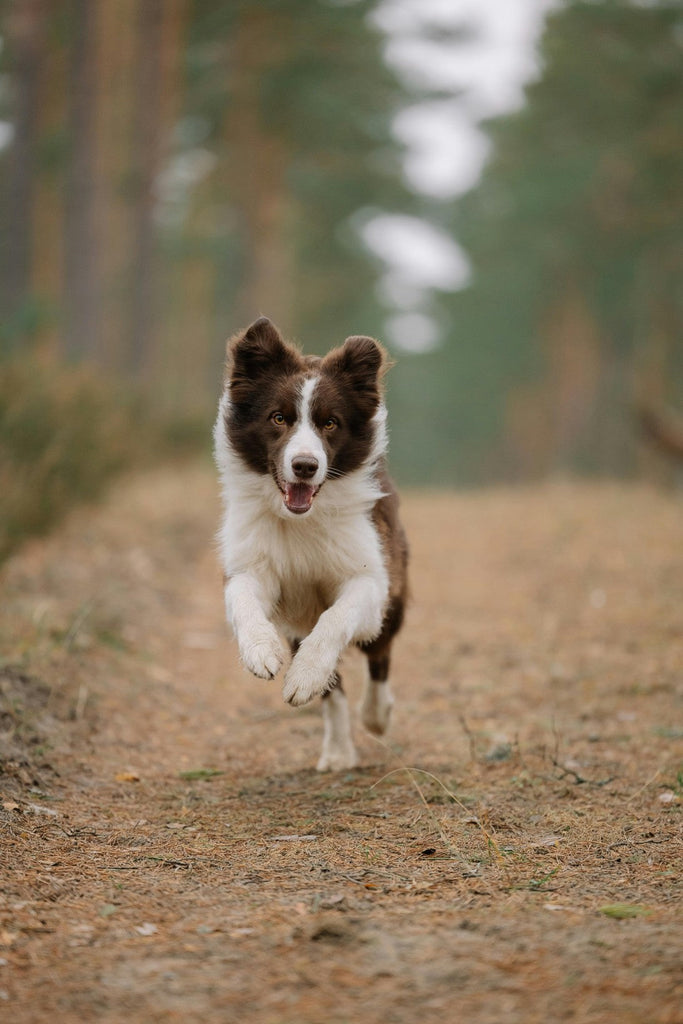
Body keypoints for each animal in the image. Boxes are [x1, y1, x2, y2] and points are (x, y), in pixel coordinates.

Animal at [214, 317, 405, 770]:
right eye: (278, 417)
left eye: (330, 423)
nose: (305, 466)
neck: (300, 520)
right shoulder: (252, 564)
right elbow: (242, 597)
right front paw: (261, 652)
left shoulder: (371, 577)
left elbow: (337, 618)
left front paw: (304, 674)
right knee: (335, 691)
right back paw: (337, 751)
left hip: (396, 593)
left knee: (380, 654)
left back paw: (376, 715)